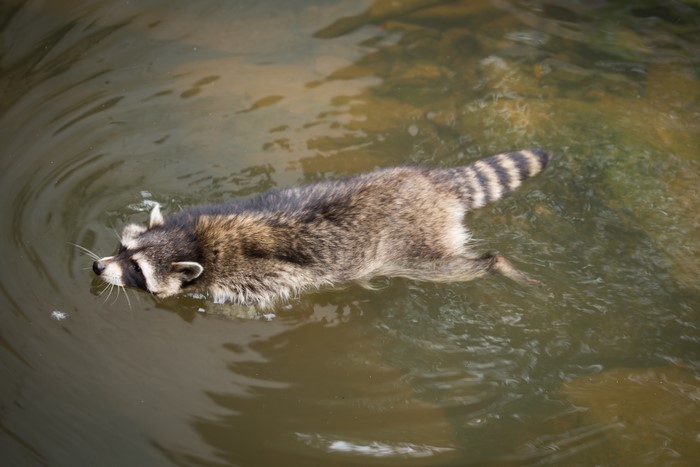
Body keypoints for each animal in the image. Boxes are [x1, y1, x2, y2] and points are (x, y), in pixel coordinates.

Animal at [92, 149, 551, 309]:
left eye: (136, 270)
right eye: (122, 248)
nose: (98, 267)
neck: (195, 240)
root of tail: (433, 184)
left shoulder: (256, 275)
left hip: (414, 244)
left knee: (450, 267)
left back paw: (495, 264)